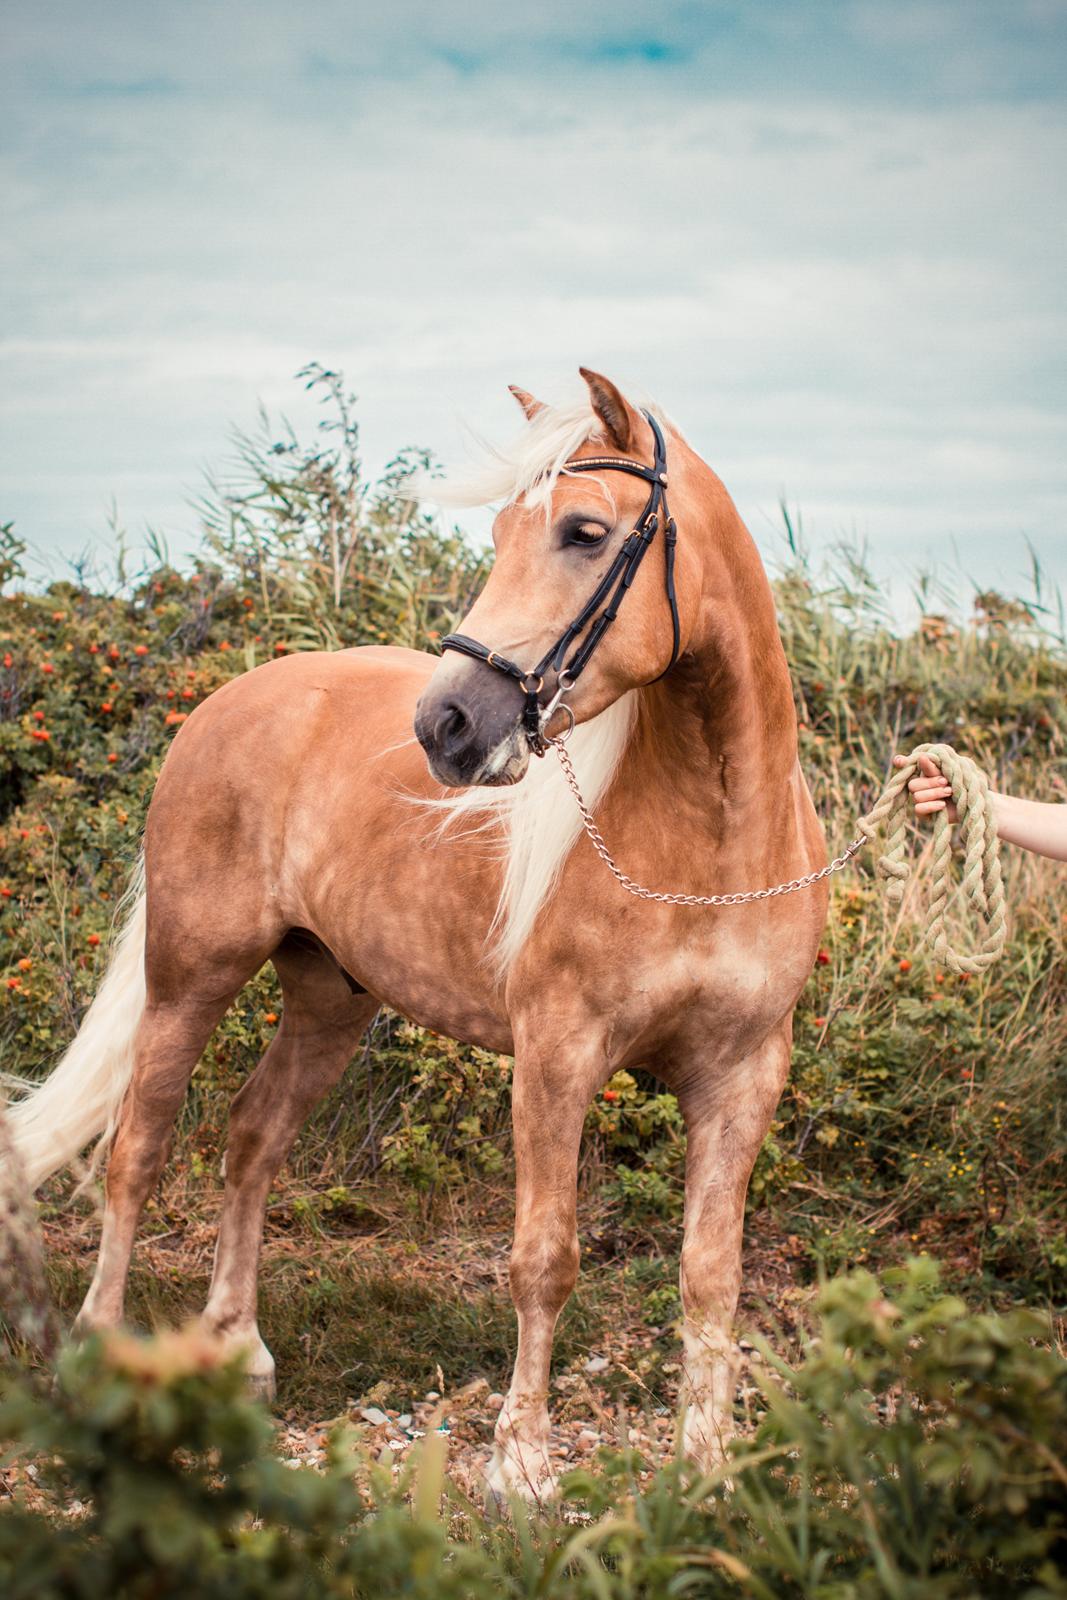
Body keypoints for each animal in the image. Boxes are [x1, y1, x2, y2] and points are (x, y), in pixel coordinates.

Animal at [8, 368, 825, 1491]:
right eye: (500, 530)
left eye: (581, 530)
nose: (448, 725)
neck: (714, 843)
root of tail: (232, 697)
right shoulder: (557, 1057)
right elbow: (543, 1258)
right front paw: (520, 1462)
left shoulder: (742, 1074)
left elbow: (709, 1273)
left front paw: (703, 1465)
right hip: (192, 976)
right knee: (140, 1148)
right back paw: (100, 1347)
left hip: (327, 998)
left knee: (252, 1138)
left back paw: (238, 1345)